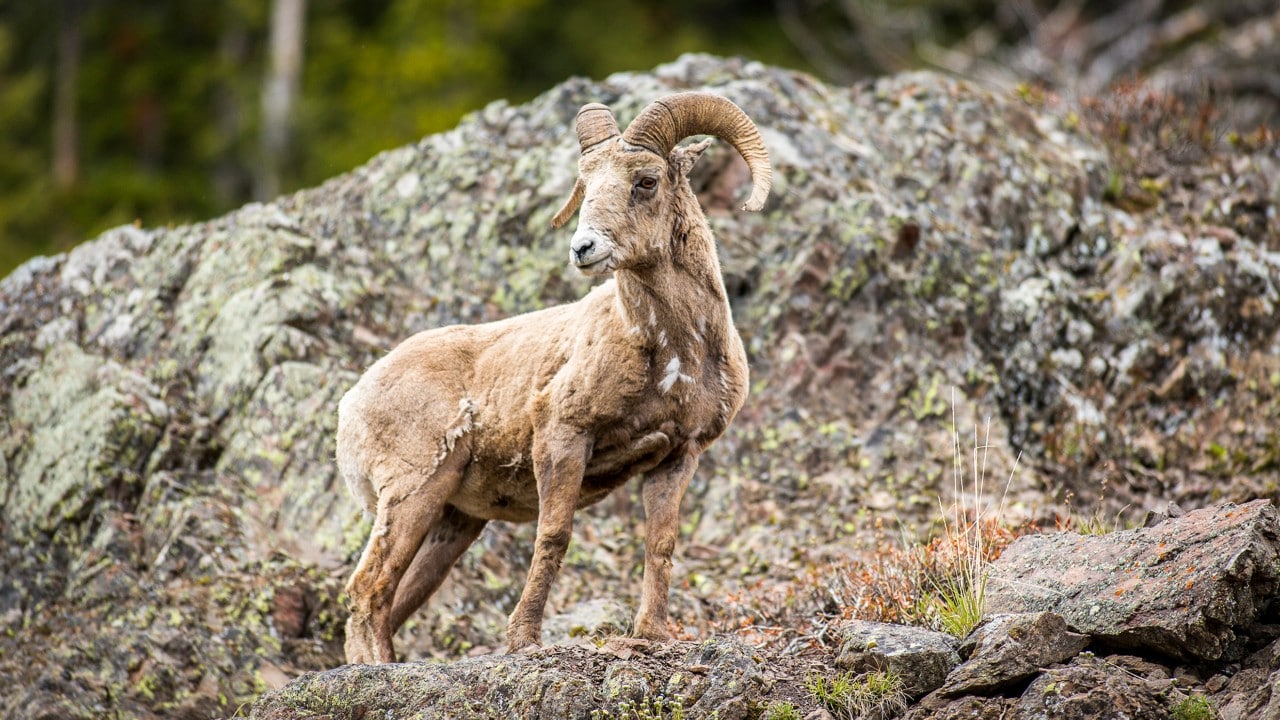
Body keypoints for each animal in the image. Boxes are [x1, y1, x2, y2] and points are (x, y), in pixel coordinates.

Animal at [335, 90, 768, 661]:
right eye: (586, 183)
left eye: (645, 181)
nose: (583, 248)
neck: (673, 352)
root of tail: (352, 401)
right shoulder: (563, 435)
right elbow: (554, 535)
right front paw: (524, 640)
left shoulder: (678, 455)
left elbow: (660, 543)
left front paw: (650, 635)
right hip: (413, 491)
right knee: (367, 590)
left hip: (451, 522)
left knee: (391, 599)